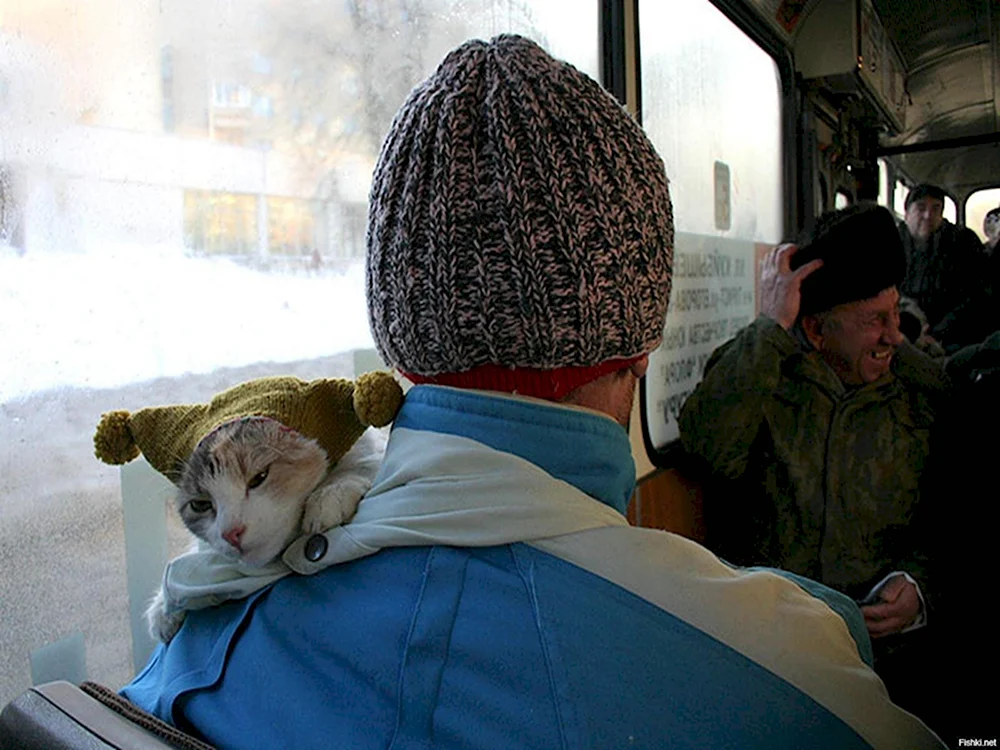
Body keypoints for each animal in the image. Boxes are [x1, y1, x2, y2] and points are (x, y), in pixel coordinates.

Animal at [148, 420, 386, 644]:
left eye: (259, 477)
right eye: (200, 505)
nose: (231, 533)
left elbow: (367, 460)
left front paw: (332, 491)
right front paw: (163, 606)